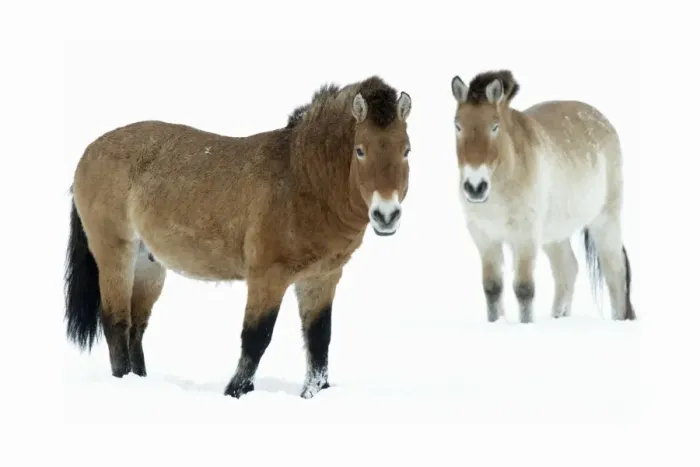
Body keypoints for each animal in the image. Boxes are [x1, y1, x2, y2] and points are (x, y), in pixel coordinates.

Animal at [64, 75, 413, 399]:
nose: (386, 215)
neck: (301, 180)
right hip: (115, 253)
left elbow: (319, 340)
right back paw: (124, 382)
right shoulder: (267, 277)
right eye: (360, 150)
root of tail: (90, 151)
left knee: (136, 328)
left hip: (149, 264)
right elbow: (256, 337)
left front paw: (315, 392)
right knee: (116, 323)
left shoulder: (321, 278)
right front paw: (237, 391)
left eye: (406, 150)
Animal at [450, 70, 635, 323]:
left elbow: (524, 289)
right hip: (555, 235)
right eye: (458, 125)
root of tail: (602, 120)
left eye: (494, 126)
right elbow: (492, 288)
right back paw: (558, 317)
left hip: (605, 220)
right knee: (567, 270)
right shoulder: (484, 237)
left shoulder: (525, 236)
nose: (475, 187)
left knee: (615, 273)